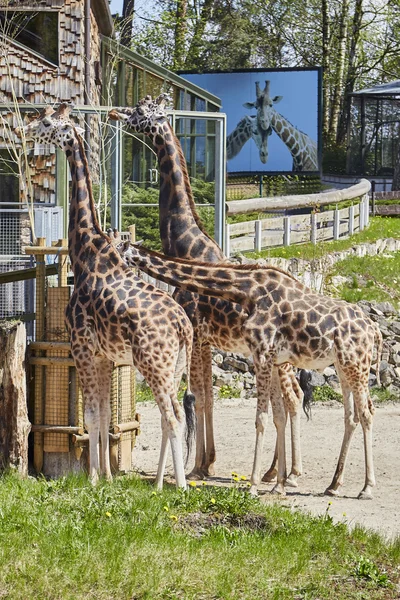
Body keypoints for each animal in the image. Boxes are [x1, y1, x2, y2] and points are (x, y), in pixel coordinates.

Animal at [14, 103, 196, 488]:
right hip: (174, 367)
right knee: (171, 415)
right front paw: (107, 476)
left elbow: (92, 414)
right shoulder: (104, 356)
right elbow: (103, 416)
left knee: (173, 417)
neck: (85, 250)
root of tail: (182, 326)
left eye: (48, 121)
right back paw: (160, 484)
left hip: (153, 364)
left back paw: (181, 487)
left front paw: (94, 479)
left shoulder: (81, 347)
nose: (27, 128)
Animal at [108, 94, 310, 490]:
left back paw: (289, 474)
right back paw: (274, 472)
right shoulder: (207, 340)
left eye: (139, 111)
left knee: (293, 398)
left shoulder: (198, 334)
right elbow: (205, 398)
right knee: (288, 398)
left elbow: (201, 398)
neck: (185, 244)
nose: (114, 112)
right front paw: (204, 463)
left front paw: (198, 466)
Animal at [116, 241, 384, 500]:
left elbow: (261, 418)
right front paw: (278, 486)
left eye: (120, 251)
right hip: (344, 367)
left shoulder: (261, 354)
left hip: (356, 365)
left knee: (366, 413)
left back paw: (367, 488)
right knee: (351, 416)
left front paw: (254, 485)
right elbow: (278, 416)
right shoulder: (273, 360)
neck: (247, 291)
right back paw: (334, 485)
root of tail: (374, 330)